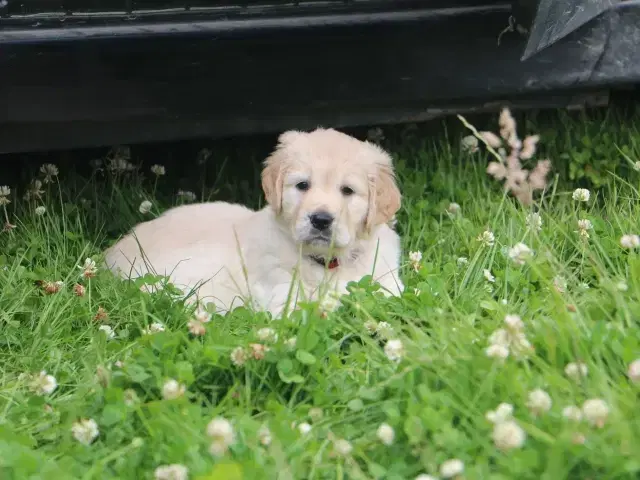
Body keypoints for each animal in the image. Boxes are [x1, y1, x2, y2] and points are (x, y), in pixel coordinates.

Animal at [105, 127, 404, 316]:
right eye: (302, 185)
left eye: (348, 191)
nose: (320, 220)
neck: (328, 263)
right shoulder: (281, 293)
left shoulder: (388, 283)